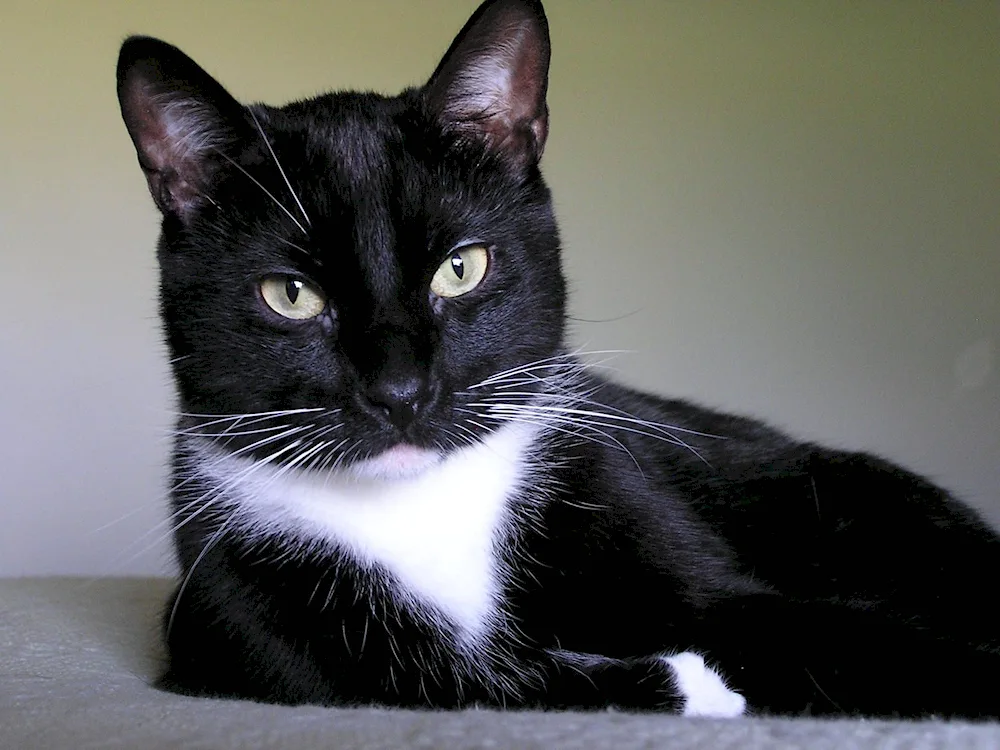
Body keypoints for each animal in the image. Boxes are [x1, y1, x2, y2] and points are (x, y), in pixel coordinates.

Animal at [115, 0, 1000, 720]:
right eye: (290, 294)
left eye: (461, 268)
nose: (399, 392)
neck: (425, 507)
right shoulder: (233, 627)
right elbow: (435, 680)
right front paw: (682, 683)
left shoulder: (624, 499)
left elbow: (798, 627)